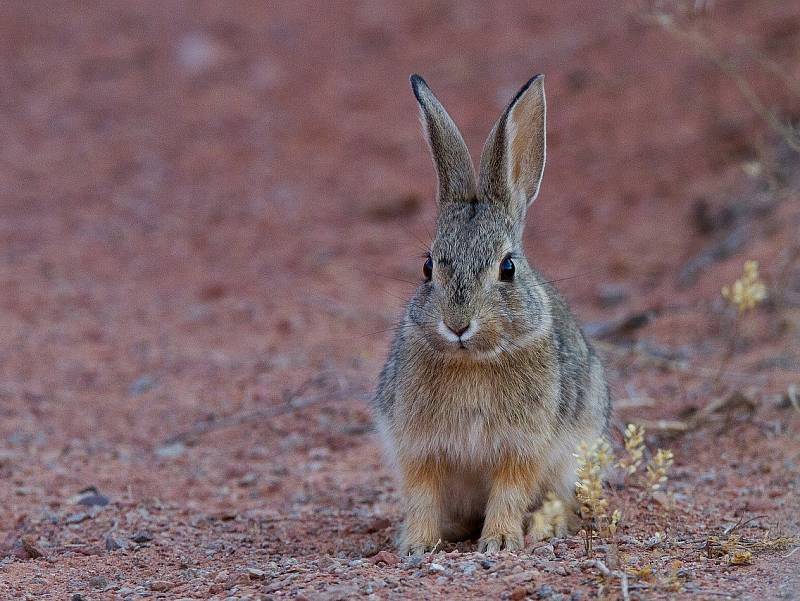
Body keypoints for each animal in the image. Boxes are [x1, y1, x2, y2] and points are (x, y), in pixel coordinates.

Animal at [372, 74, 608, 552]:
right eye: (428, 267)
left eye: (508, 267)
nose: (457, 325)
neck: (473, 361)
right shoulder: (417, 447)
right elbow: (422, 494)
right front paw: (417, 544)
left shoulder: (523, 447)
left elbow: (509, 491)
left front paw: (499, 541)